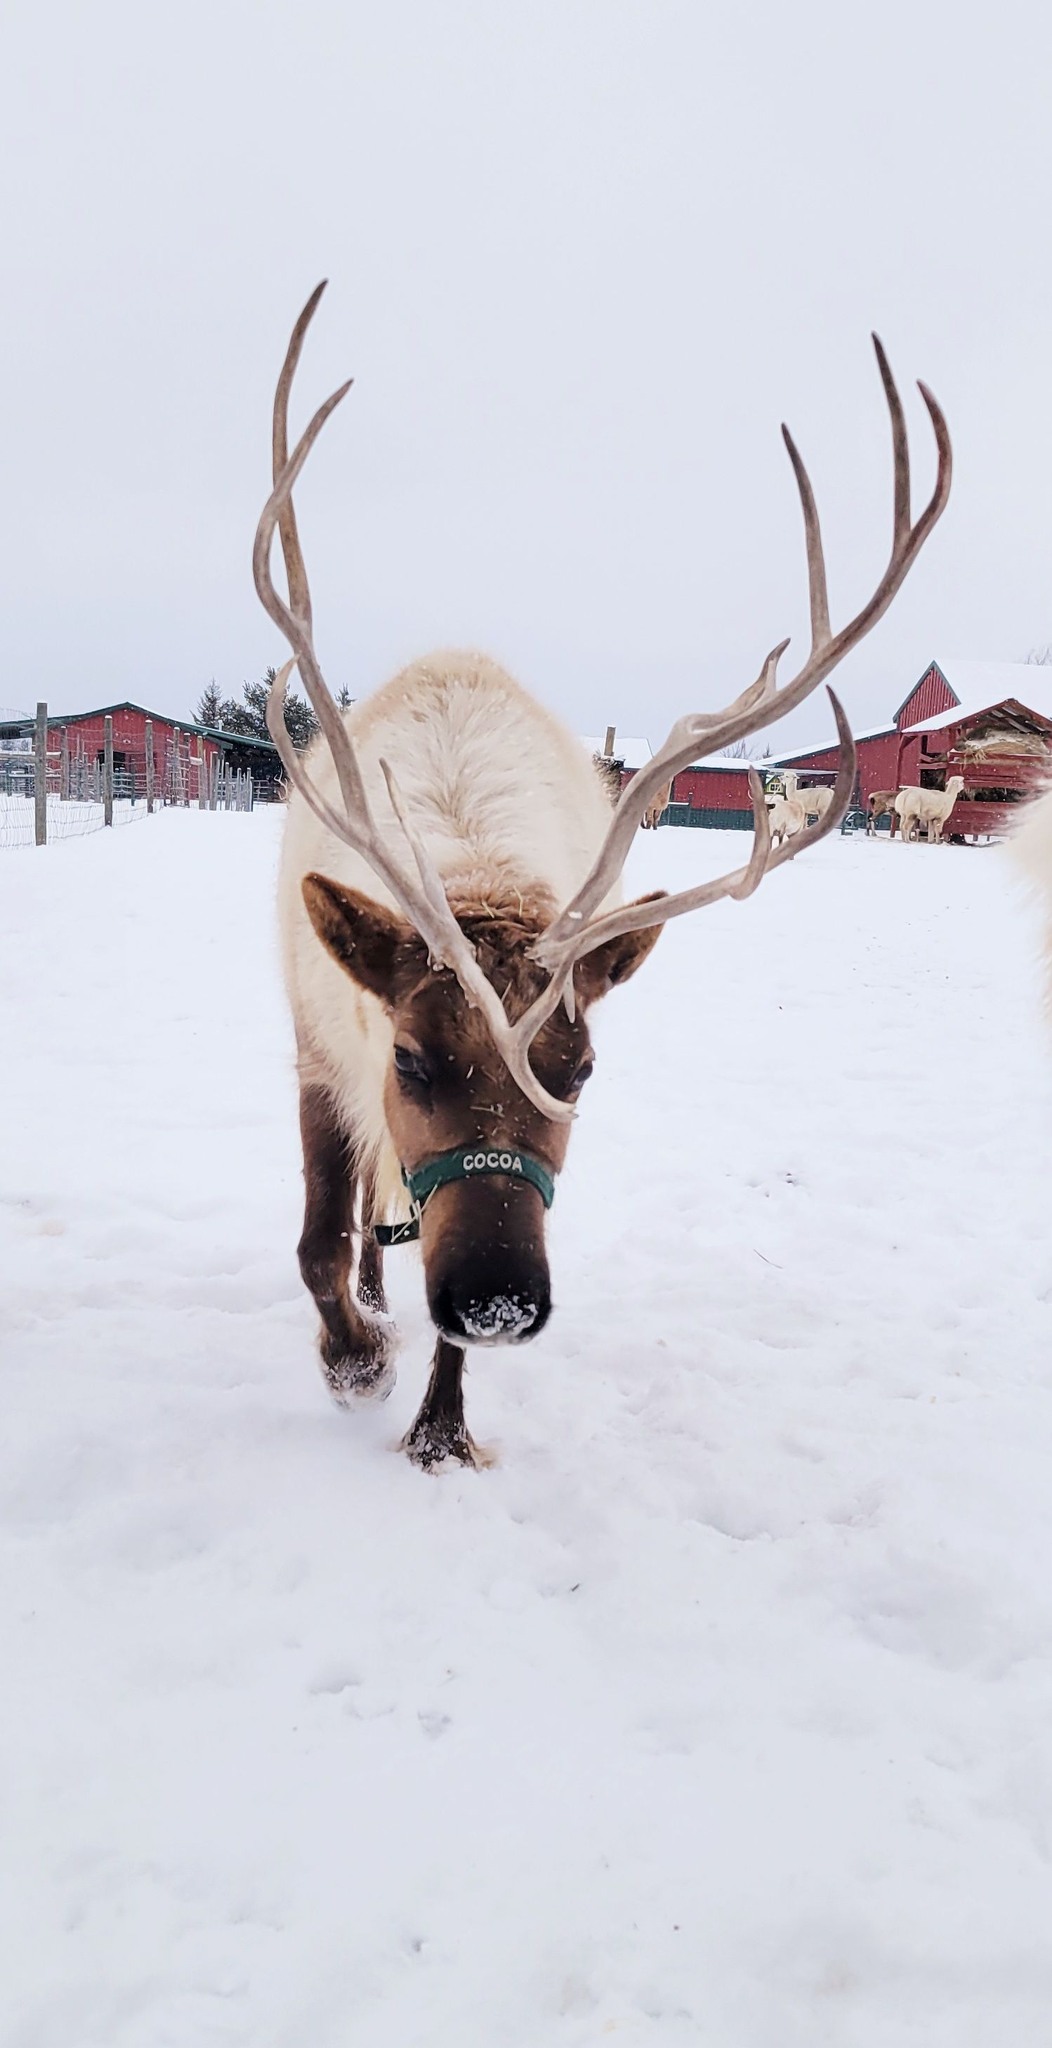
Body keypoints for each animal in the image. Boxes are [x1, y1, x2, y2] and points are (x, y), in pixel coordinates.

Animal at [255, 285, 951, 1470]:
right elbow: (316, 1239)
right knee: (362, 1222)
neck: (474, 866)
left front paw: (439, 1429)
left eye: (579, 1072)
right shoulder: (318, 1044)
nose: (499, 1299)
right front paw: (356, 1363)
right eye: (411, 1056)